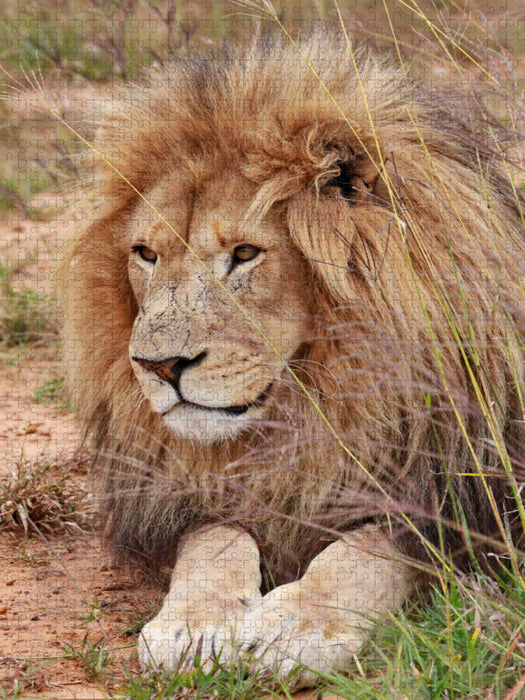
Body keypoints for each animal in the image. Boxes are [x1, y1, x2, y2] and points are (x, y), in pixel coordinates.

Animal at [60, 31, 525, 687]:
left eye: (245, 253)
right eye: (146, 254)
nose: (157, 367)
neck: (316, 400)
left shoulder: (470, 502)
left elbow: (368, 552)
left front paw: (296, 625)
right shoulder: (196, 491)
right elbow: (213, 542)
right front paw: (191, 625)